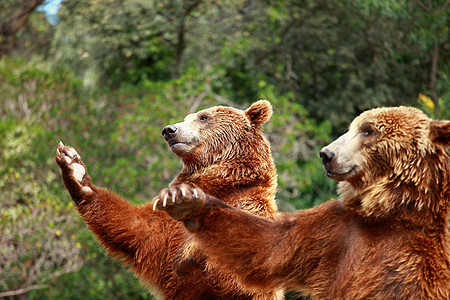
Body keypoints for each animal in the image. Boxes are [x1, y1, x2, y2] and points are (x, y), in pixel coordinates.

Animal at [54, 101, 284, 300]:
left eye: (203, 117)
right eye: (187, 117)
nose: (169, 130)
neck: (219, 185)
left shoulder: (249, 208)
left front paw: (193, 252)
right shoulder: (169, 226)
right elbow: (138, 228)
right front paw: (75, 168)